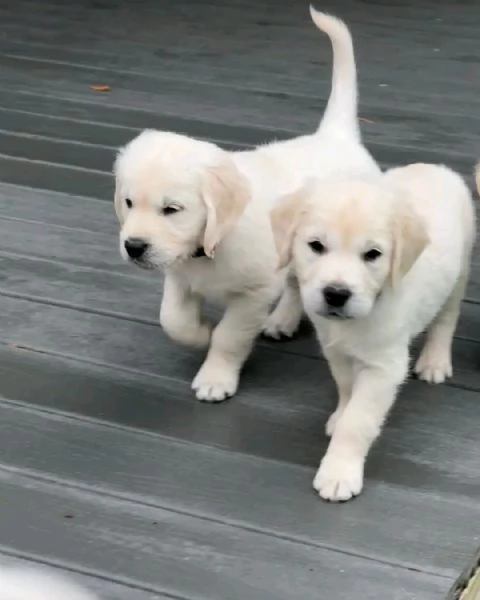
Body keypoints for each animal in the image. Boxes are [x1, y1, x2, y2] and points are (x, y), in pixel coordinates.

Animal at [114, 7, 380, 400]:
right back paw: (283, 320)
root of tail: (336, 136)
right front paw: (199, 334)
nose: (134, 247)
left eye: (171, 210)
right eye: (129, 202)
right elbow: (173, 320)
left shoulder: (254, 293)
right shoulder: (179, 276)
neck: (210, 246)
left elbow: (229, 336)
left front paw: (215, 376)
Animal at [270, 163, 476, 502]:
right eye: (316, 246)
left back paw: (434, 361)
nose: (336, 294)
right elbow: (346, 388)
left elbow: (357, 421)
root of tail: (435, 167)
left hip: (459, 273)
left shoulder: (384, 368)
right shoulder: (336, 351)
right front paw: (340, 413)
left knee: (446, 318)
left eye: (372, 254)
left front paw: (339, 473)